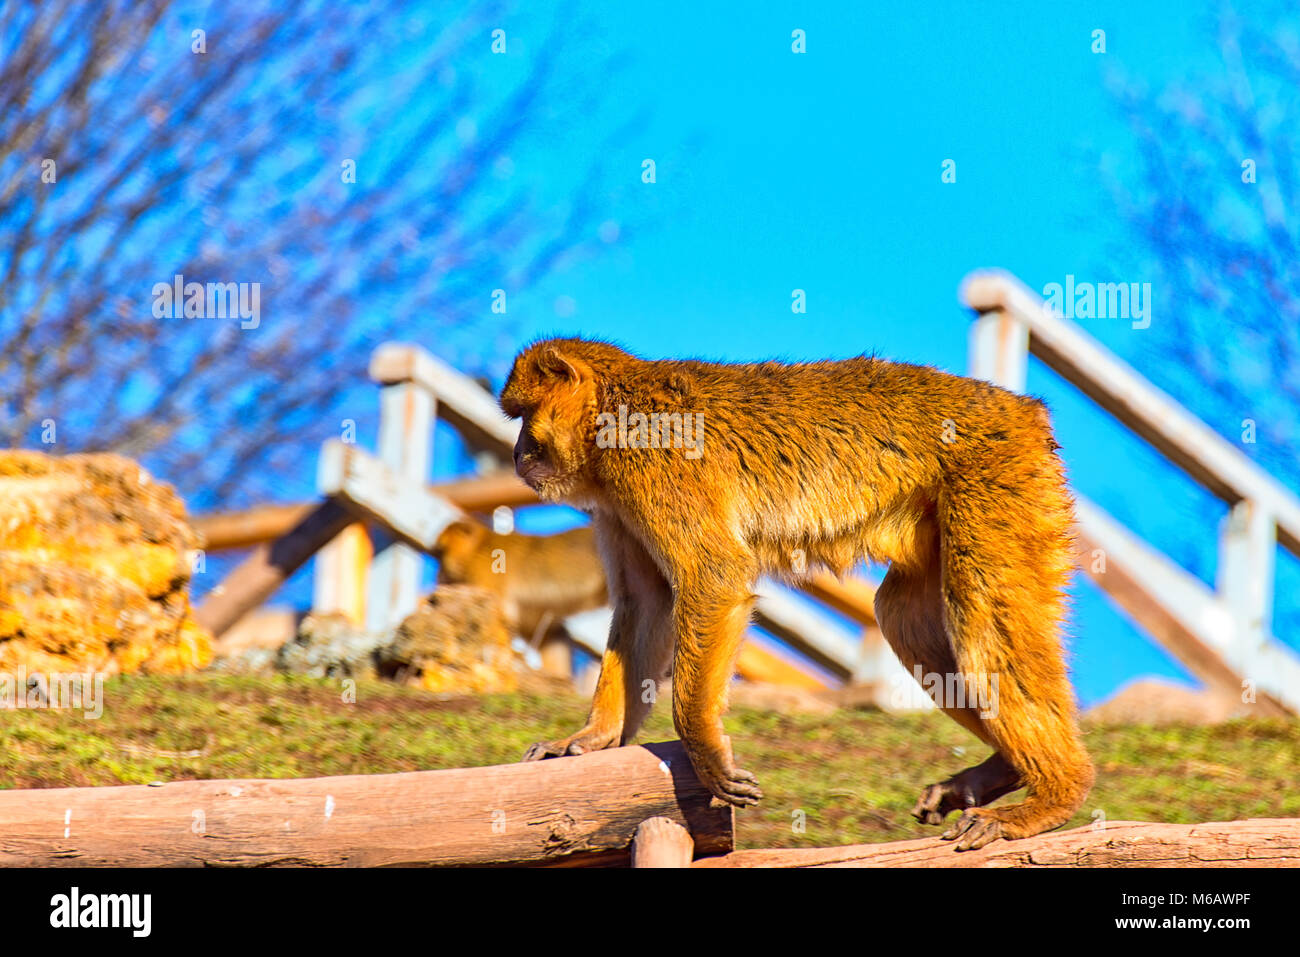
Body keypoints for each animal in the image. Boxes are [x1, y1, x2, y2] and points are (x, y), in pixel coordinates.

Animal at [501, 335, 1092, 852]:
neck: (612, 408)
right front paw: (592, 738)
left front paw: (704, 747)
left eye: (525, 415)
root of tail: (1021, 410)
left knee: (979, 615)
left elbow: (713, 577)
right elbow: (647, 604)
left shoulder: (652, 458)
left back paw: (1057, 794)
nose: (516, 452)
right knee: (903, 616)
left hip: (1000, 477)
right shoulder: (618, 499)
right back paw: (1007, 772)